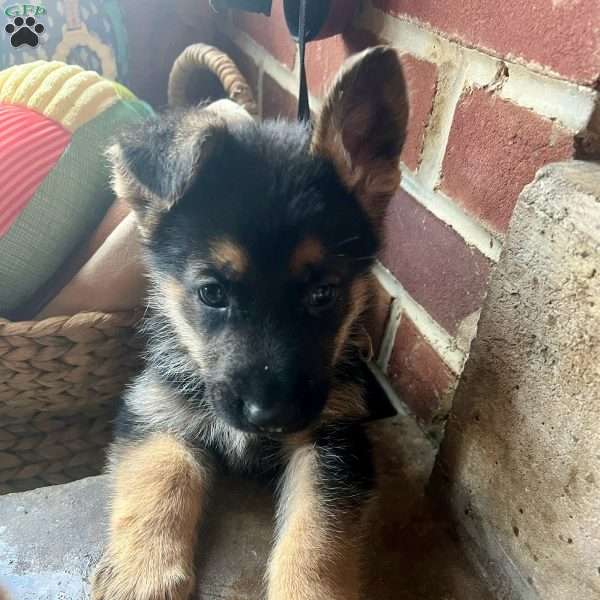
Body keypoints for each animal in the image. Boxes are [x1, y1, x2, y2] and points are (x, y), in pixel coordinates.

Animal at [92, 48, 408, 600]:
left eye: (322, 294)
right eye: (211, 293)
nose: (270, 414)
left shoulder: (334, 441)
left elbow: (317, 531)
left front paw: (308, 591)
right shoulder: (156, 412)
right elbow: (159, 474)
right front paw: (141, 574)